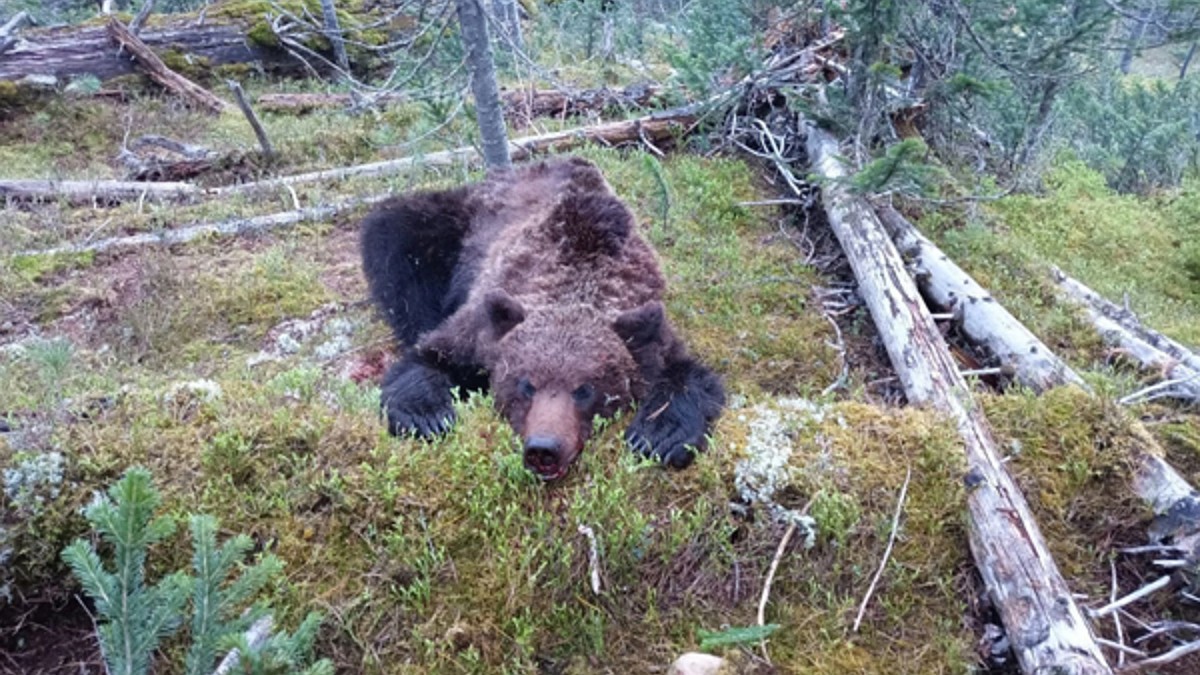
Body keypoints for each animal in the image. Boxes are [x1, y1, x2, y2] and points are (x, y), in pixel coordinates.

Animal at [360, 156, 724, 478]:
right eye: (526, 384)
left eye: (585, 389)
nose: (544, 448)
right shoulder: (482, 324)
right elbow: (429, 356)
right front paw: (427, 416)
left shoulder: (649, 327)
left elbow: (689, 376)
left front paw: (659, 436)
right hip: (456, 224)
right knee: (397, 236)